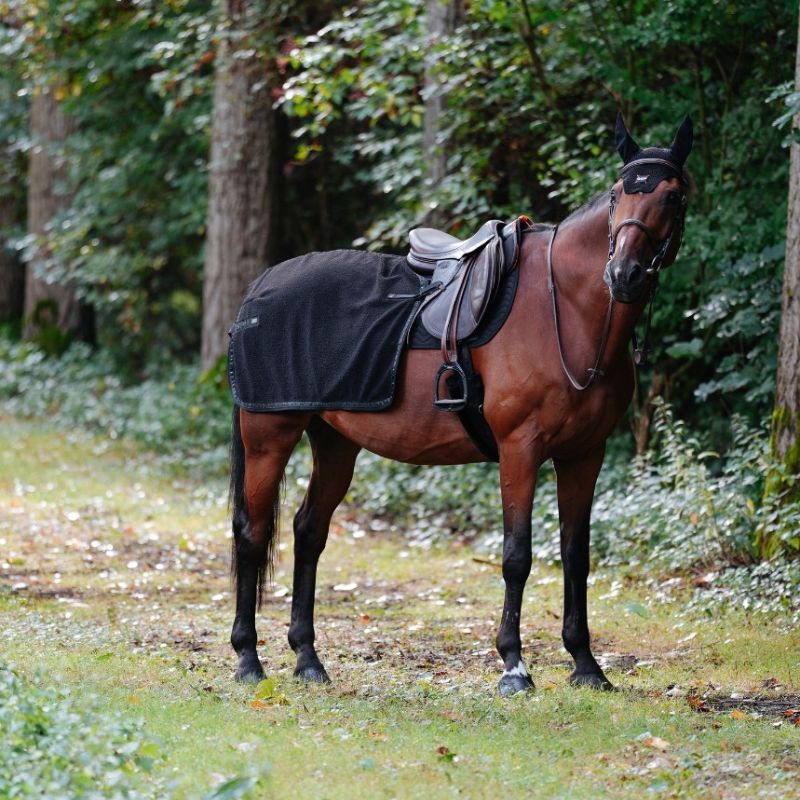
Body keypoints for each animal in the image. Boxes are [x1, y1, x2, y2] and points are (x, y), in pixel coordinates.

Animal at [227, 114, 693, 695]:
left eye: (672, 196)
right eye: (617, 194)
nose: (625, 274)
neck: (565, 308)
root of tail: (260, 288)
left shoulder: (584, 455)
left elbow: (576, 556)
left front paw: (586, 665)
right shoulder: (520, 448)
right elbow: (517, 556)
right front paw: (514, 666)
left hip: (334, 443)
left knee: (308, 531)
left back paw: (308, 659)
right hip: (268, 435)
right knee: (252, 534)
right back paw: (249, 659)